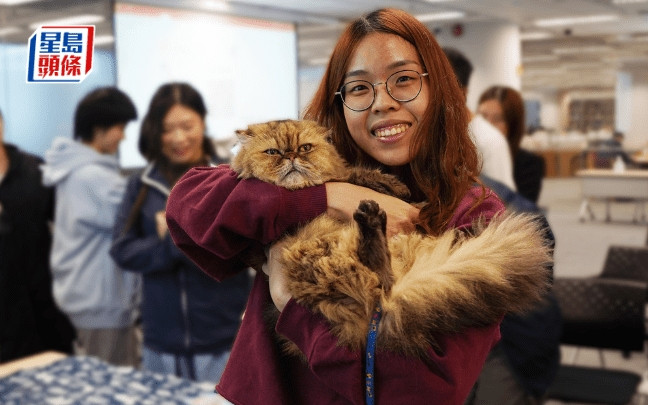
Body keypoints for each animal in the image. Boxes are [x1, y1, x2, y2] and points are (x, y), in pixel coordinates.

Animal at [230, 119, 548, 356]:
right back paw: (372, 228)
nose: (292, 157)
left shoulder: (347, 175)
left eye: (305, 148)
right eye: (273, 152)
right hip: (318, 256)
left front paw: (395, 188)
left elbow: (356, 174)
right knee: (380, 280)